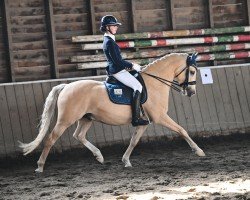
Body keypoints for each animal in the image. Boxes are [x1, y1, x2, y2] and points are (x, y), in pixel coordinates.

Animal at [19, 52, 205, 172]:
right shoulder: (160, 117)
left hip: (86, 119)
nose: (191, 92)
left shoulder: (143, 123)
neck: (154, 83)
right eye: (192, 71)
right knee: (51, 139)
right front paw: (199, 151)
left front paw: (126, 161)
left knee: (79, 135)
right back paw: (40, 166)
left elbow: (133, 141)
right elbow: (182, 130)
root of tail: (66, 86)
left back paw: (99, 156)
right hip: (65, 120)